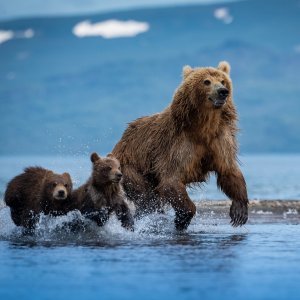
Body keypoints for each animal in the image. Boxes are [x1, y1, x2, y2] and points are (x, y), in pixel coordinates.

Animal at [112, 61, 248, 230]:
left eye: (223, 81)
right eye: (207, 81)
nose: (223, 91)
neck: (203, 127)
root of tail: (121, 139)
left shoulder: (219, 140)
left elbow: (228, 169)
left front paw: (239, 211)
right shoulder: (178, 145)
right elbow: (171, 179)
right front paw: (182, 218)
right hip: (131, 166)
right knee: (145, 196)